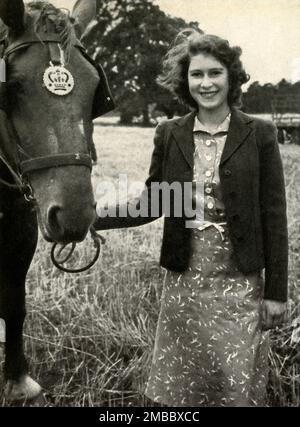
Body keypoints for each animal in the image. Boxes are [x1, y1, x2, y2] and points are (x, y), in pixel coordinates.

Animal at [0, 0, 113, 402]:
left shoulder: (20, 229)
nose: (74, 215)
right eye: (14, 87)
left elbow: (14, 303)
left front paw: (17, 379)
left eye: (96, 91)